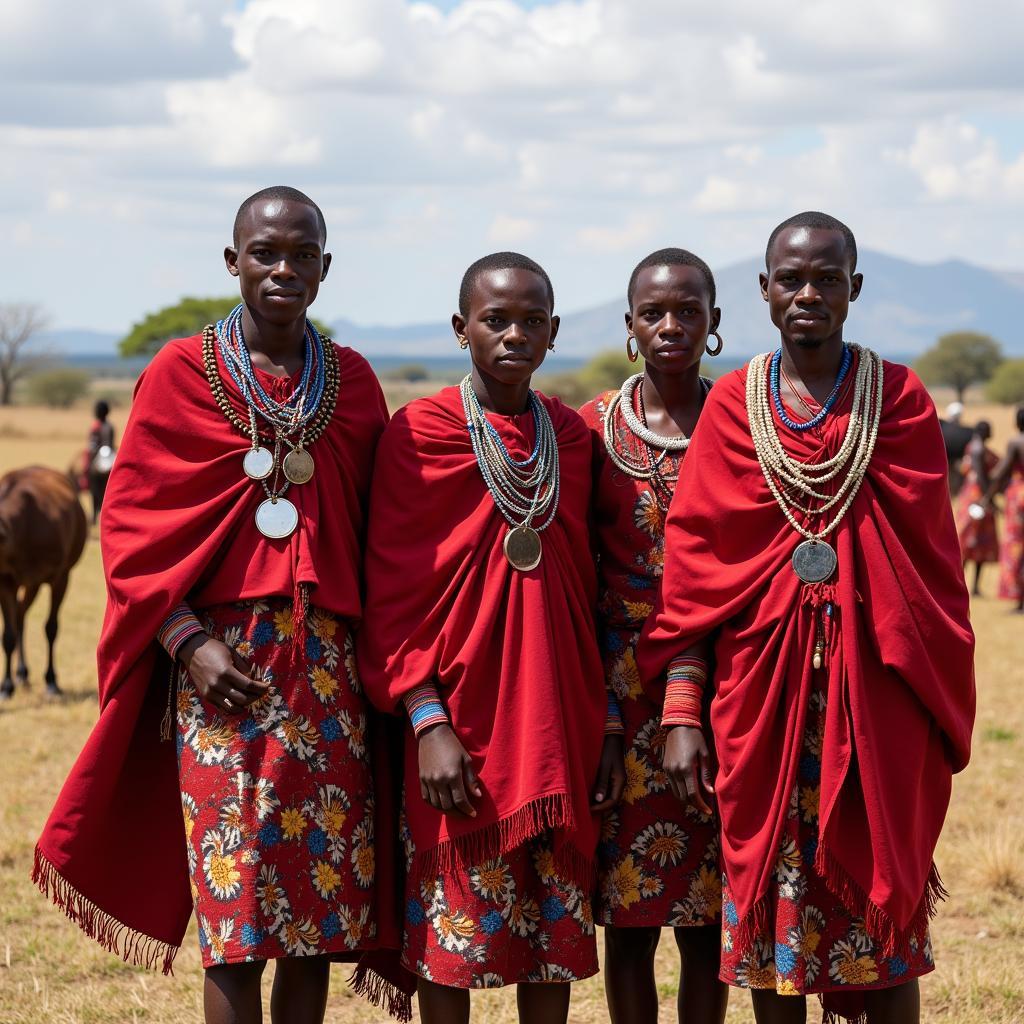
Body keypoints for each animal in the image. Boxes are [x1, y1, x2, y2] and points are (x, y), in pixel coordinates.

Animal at [0, 464, 86, 696]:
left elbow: (51, 628)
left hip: (36, 583)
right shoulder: (6, 581)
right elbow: (7, 635)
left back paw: (25, 673)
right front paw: (6, 686)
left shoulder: (60, 577)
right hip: (29, 583)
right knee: (19, 616)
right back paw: (21, 673)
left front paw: (52, 681)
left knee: (22, 615)